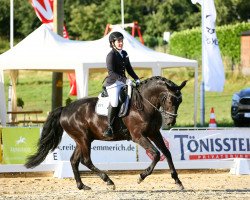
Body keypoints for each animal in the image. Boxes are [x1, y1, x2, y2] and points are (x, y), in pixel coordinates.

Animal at [24, 76, 188, 191]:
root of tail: (65, 109)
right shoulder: (138, 136)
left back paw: (82, 186)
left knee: (74, 160)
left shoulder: (154, 133)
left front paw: (178, 181)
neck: (144, 104)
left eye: (180, 101)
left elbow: (167, 153)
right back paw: (109, 181)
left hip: (82, 140)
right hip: (83, 138)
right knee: (86, 161)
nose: (170, 122)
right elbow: (156, 154)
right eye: (171, 100)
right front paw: (141, 176)